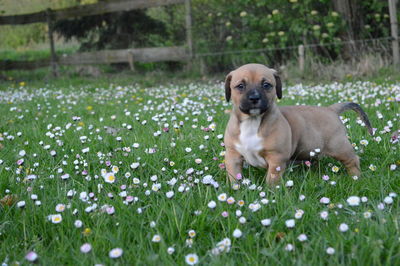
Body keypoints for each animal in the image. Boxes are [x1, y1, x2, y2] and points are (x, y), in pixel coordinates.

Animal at [223, 63, 374, 186]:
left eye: (266, 85)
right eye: (240, 86)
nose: (254, 98)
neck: (252, 122)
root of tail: (331, 109)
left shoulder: (276, 159)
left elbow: (272, 180)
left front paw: (271, 193)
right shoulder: (232, 157)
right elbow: (234, 177)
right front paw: (236, 190)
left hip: (339, 146)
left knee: (353, 160)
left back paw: (356, 178)